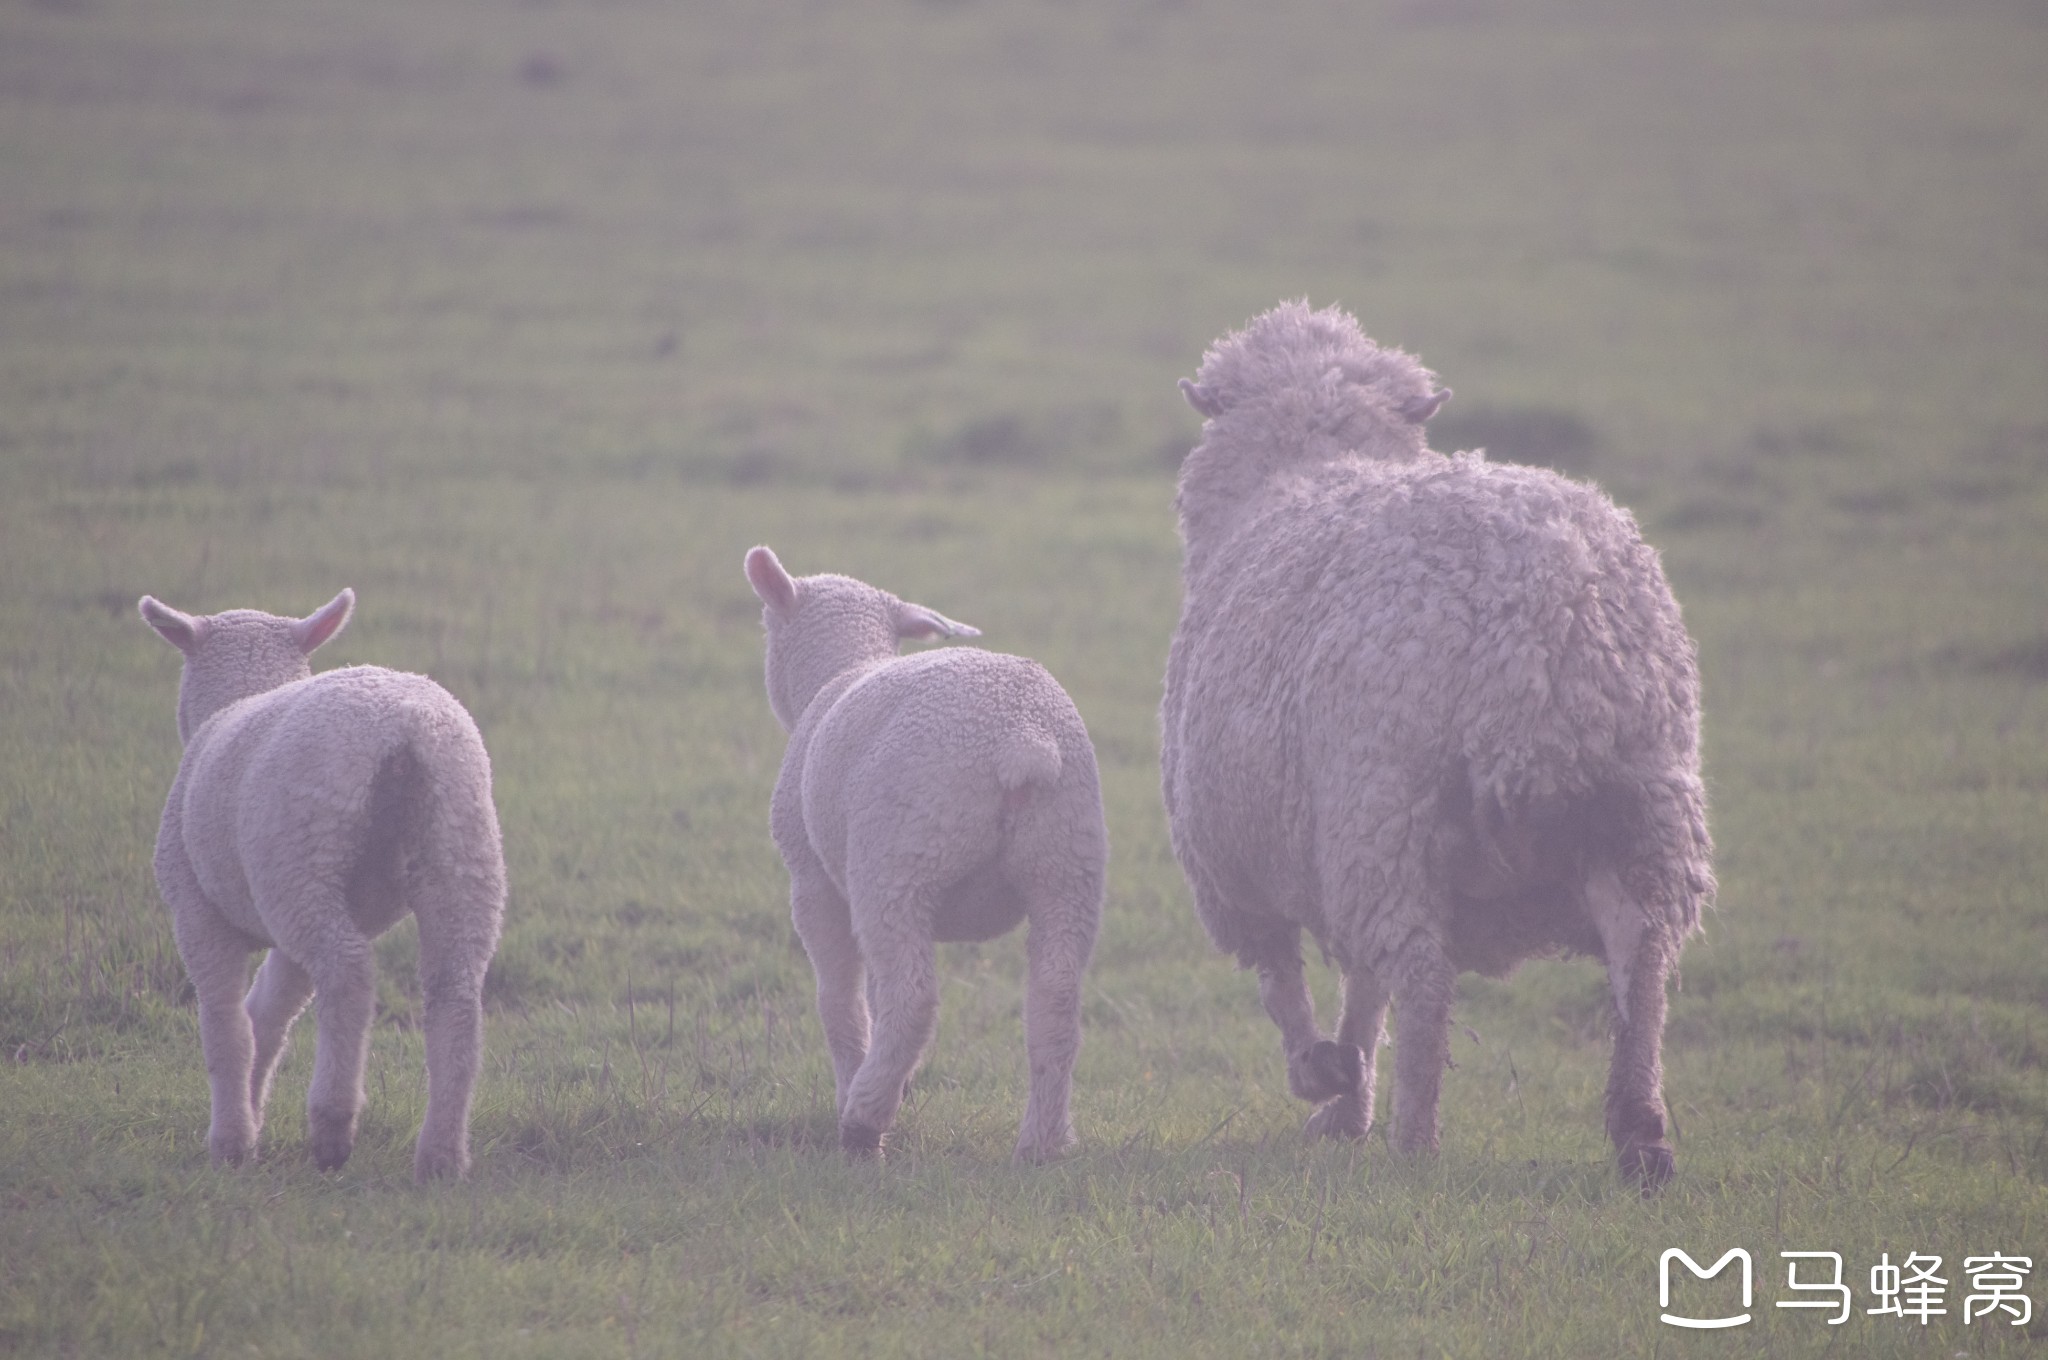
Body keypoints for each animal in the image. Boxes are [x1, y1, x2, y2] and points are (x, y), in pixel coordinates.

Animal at [140, 585, 503, 1179]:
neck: (245, 692)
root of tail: (406, 728)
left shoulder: (197, 912)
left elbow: (226, 1028)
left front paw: (231, 1142)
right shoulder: (284, 939)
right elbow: (267, 1019)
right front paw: (252, 1116)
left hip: (303, 856)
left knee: (348, 970)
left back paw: (333, 1125)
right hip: (458, 848)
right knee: (454, 989)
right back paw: (441, 1155)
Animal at [749, 548, 1114, 1163]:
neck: (841, 670)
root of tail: (1023, 737)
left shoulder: (813, 881)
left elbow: (840, 1003)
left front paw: (856, 1085)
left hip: (899, 860)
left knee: (911, 999)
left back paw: (863, 1120)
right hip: (1068, 862)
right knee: (1056, 1001)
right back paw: (1042, 1144)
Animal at [1171, 303, 1712, 1187]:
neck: (1311, 466)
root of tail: (1545, 614)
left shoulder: (1236, 864)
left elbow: (1290, 984)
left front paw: (1325, 1079)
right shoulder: (1317, 846)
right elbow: (1359, 989)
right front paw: (1345, 1096)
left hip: (1387, 809)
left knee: (1423, 979)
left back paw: (1415, 1140)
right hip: (1644, 809)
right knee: (1644, 961)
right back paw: (1641, 1138)